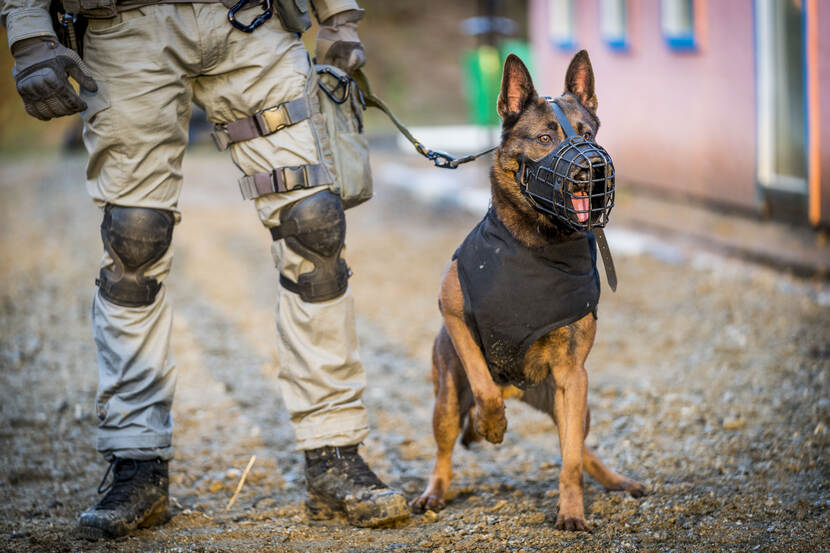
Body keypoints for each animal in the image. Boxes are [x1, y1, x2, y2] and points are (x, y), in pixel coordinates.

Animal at [412, 51, 648, 532]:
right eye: (544, 138)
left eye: (588, 134)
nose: (592, 168)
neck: (537, 243)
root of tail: (519, 391)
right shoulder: (453, 314)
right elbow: (483, 384)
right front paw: (492, 424)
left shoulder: (574, 376)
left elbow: (570, 460)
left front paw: (571, 511)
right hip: (446, 400)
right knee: (444, 450)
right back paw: (435, 491)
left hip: (573, 403)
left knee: (579, 448)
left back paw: (615, 481)